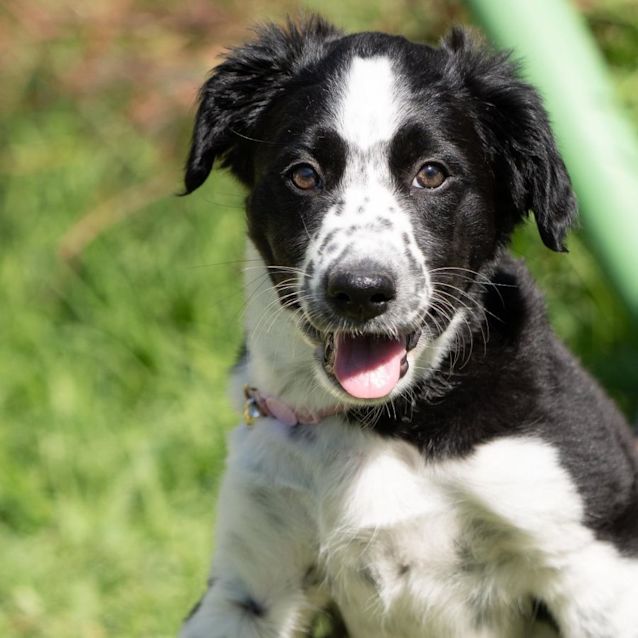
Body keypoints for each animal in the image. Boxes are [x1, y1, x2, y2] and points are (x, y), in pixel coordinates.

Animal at [179, 15, 638, 638]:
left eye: (432, 174)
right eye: (304, 175)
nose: (360, 291)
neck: (381, 421)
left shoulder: (592, 566)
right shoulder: (245, 589)